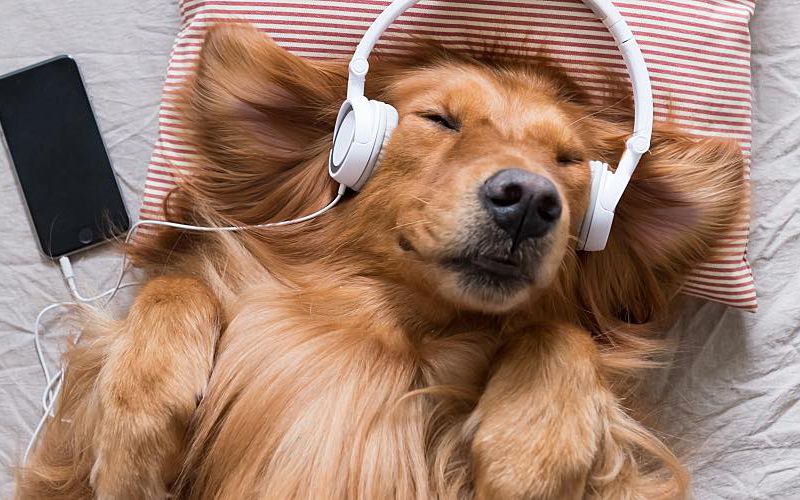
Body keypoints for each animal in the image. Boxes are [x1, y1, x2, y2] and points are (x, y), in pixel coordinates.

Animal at [15, 24, 748, 500]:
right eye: (439, 121)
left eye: (568, 162)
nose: (530, 201)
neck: (393, 330)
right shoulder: (64, 480)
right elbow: (174, 288)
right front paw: (135, 434)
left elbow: (562, 331)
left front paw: (530, 453)